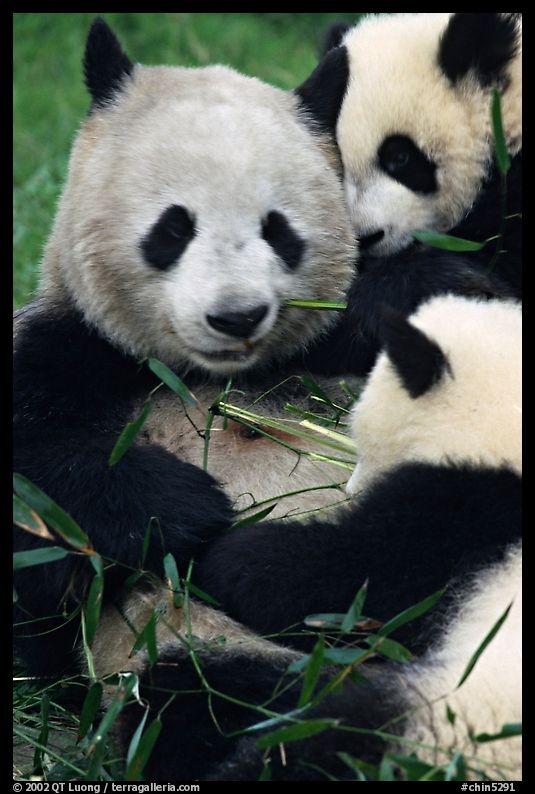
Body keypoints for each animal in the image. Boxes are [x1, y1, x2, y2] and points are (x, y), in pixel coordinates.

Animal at [13, 17, 359, 678]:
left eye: (278, 230)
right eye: (173, 228)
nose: (237, 316)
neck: (209, 377)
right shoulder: (74, 352)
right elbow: (41, 494)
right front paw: (187, 506)